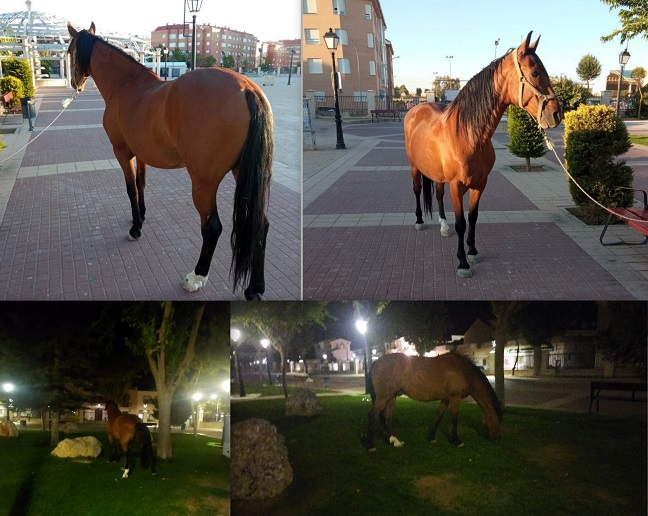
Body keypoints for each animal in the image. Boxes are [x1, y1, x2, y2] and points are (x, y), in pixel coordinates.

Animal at [66, 23, 273, 298]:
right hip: (244, 174)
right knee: (260, 225)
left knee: (212, 227)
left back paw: (196, 277)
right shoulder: (141, 153)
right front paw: (141, 216)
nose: (74, 83)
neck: (126, 85)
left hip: (204, 183)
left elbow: (131, 189)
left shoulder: (121, 152)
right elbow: (141, 184)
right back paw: (255, 287)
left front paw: (135, 228)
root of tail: (247, 88)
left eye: (69, 51)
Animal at [363, 353, 502, 451]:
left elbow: (439, 415)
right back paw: (370, 445)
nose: (496, 439)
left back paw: (395, 441)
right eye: (497, 421)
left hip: (392, 396)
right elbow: (454, 419)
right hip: (383, 397)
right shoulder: (455, 398)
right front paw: (456, 441)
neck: (463, 370)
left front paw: (431, 437)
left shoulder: (446, 399)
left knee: (388, 415)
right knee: (372, 415)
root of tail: (375, 363)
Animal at [404, 32, 562, 278]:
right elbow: (461, 223)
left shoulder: (480, 184)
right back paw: (420, 221)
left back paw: (443, 226)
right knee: (417, 189)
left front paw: (473, 252)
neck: (468, 135)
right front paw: (462, 262)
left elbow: (473, 218)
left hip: (438, 175)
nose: (556, 114)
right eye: (535, 72)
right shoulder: (457, 186)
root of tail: (415, 109)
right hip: (414, 168)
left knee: (437, 195)